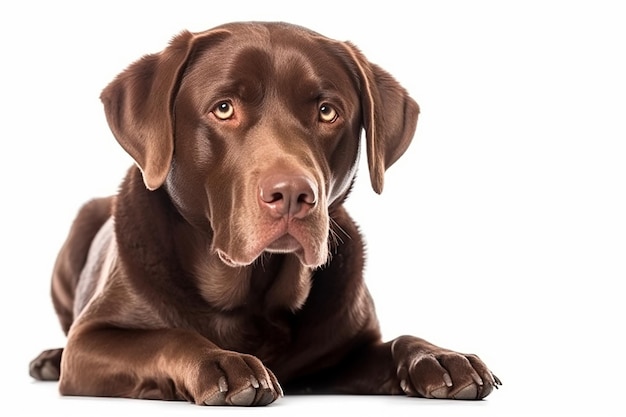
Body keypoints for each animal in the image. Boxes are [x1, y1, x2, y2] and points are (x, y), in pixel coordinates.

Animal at [28, 21, 498, 404]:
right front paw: (221, 361)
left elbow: (396, 341)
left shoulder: (343, 353)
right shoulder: (91, 342)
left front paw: (439, 356)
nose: (291, 194)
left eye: (327, 111)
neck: (254, 293)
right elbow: (167, 337)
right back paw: (50, 357)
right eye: (223, 108)